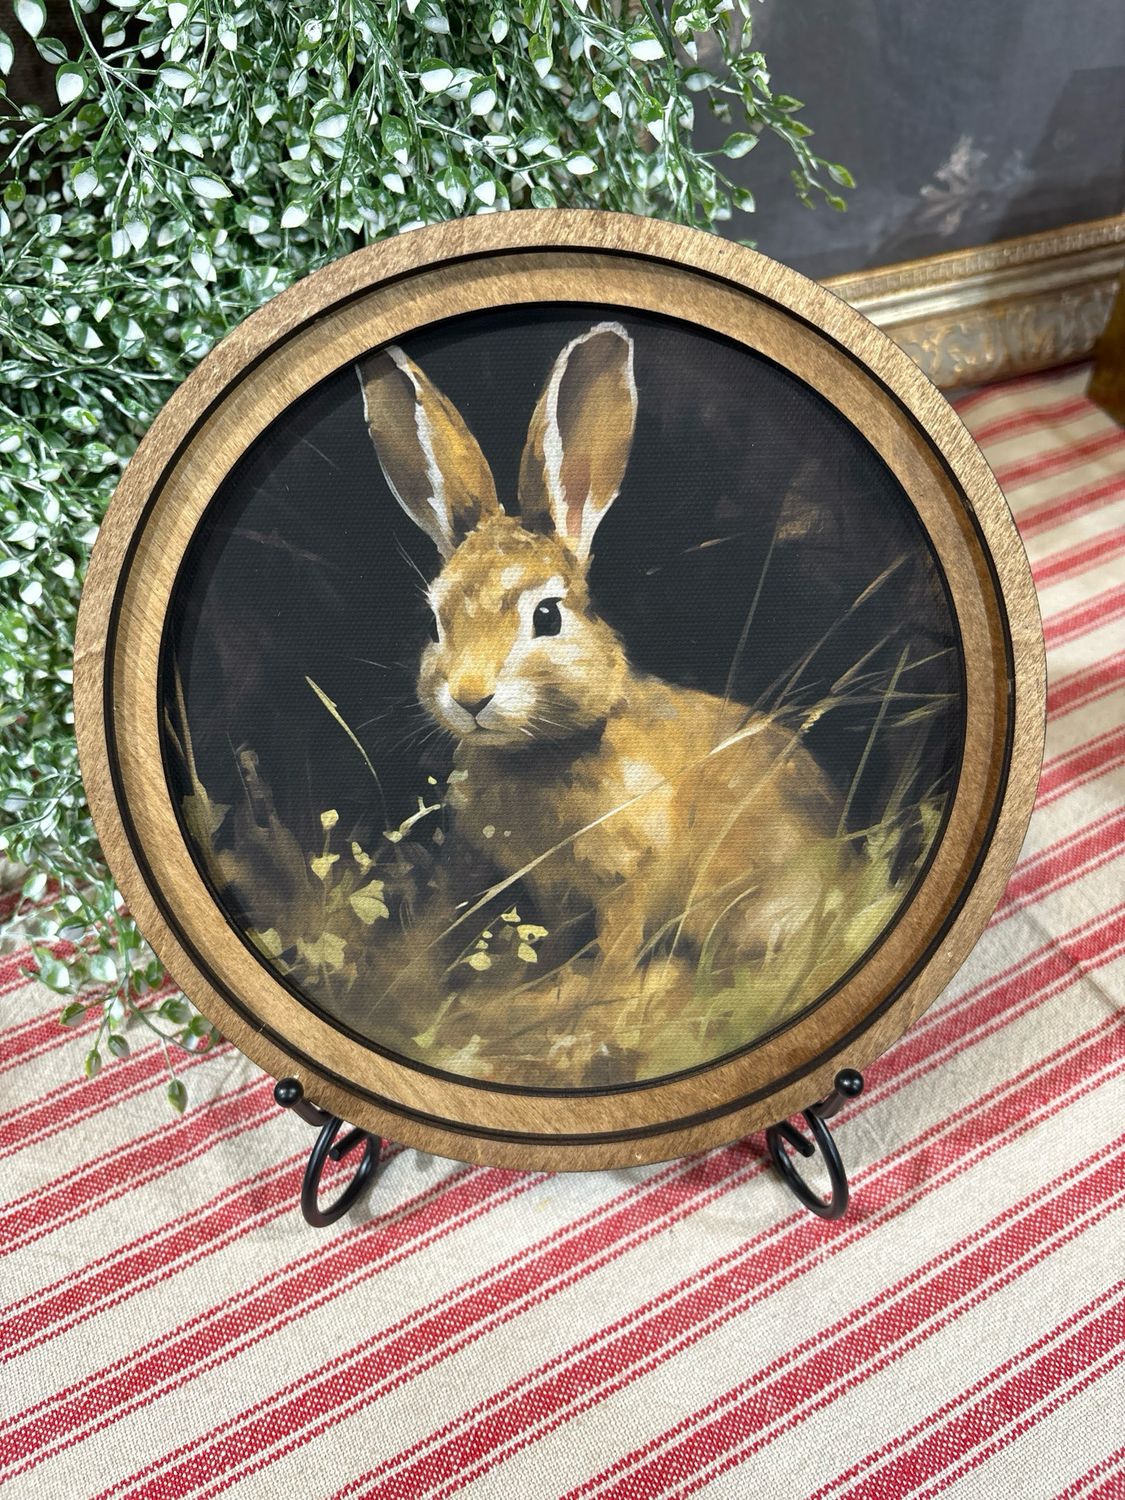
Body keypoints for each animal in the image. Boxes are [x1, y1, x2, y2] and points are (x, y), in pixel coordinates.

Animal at [357, 321, 852, 1019]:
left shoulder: (625, 876)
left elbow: (617, 949)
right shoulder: (536, 886)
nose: (471, 697)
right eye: (435, 622)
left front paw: (588, 1000)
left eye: (546, 616)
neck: (542, 753)